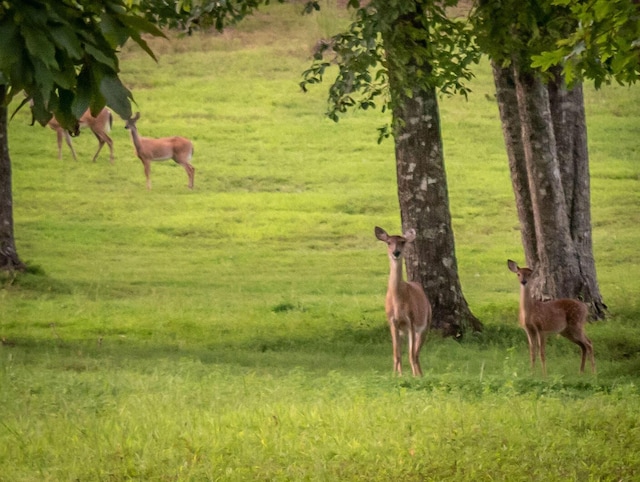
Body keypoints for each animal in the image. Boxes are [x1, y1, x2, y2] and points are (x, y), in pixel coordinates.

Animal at [372, 226, 432, 376]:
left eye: (403, 242)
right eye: (388, 242)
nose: (396, 253)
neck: (398, 303)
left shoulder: (412, 320)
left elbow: (411, 354)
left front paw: (415, 376)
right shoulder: (392, 321)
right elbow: (396, 354)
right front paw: (395, 376)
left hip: (426, 323)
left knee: (416, 353)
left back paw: (420, 375)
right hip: (403, 330)